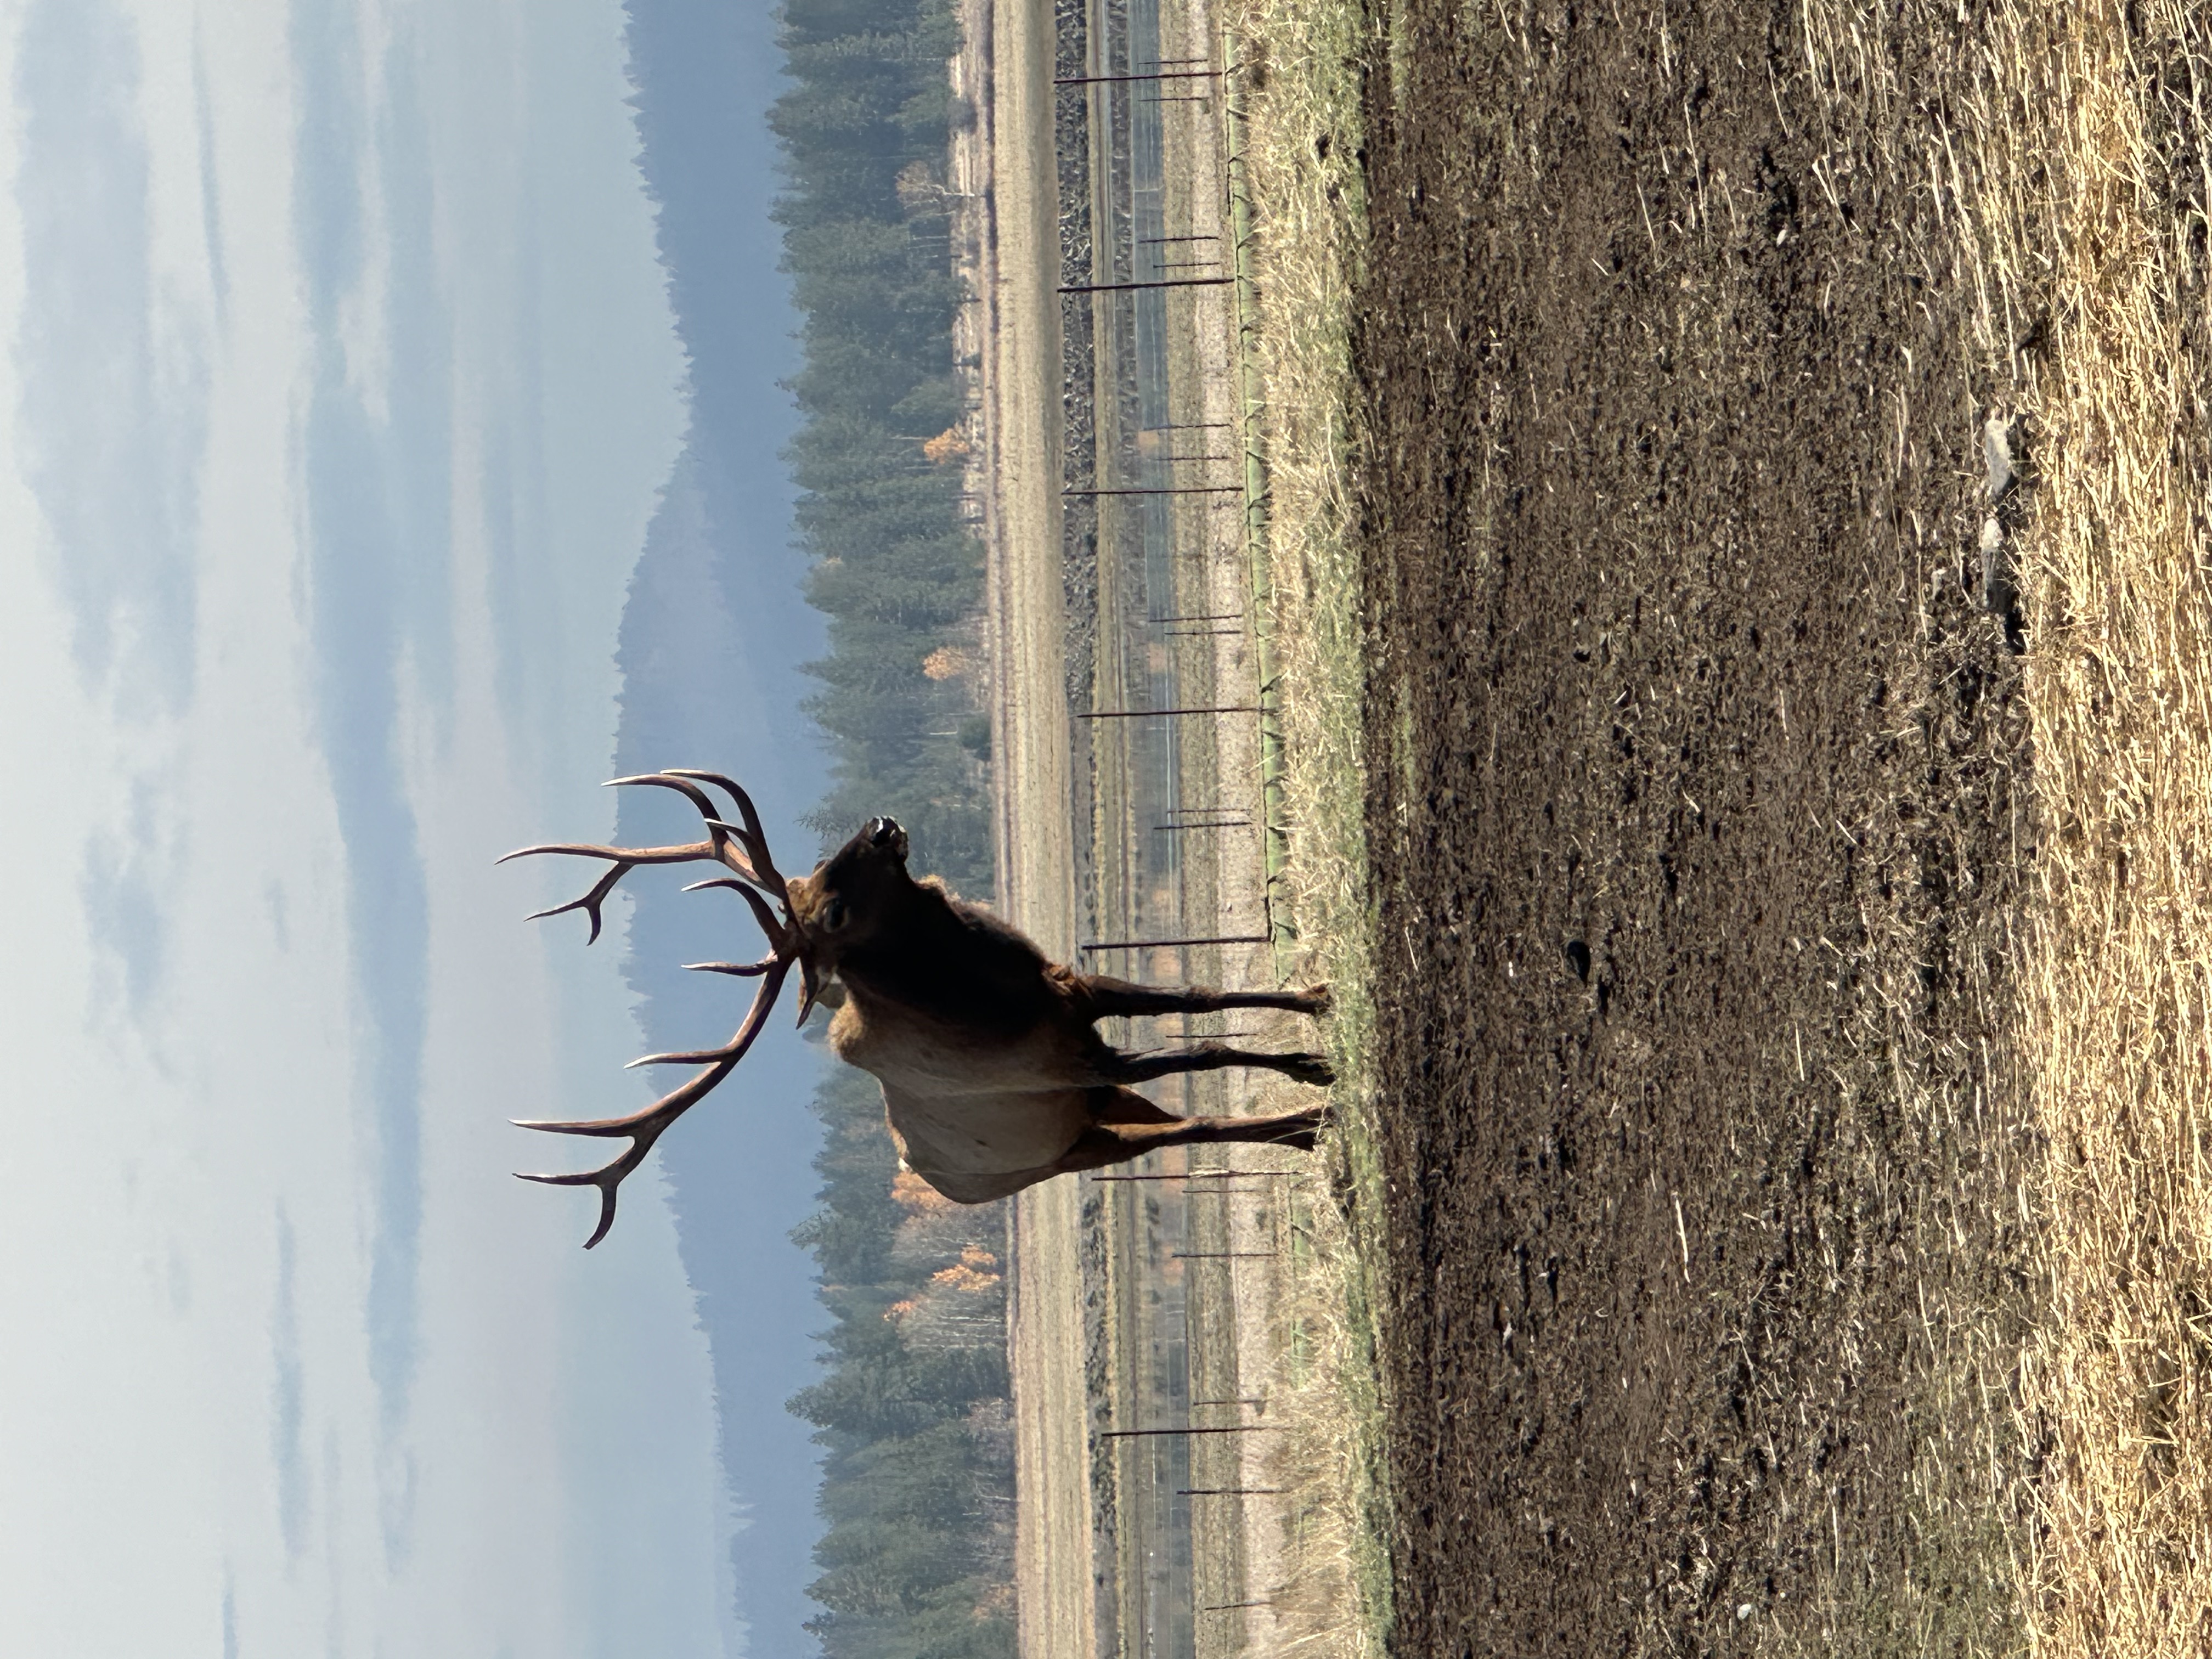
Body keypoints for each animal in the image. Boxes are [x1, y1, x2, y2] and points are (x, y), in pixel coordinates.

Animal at [501, 770, 1333, 1246]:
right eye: (830, 911)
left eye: (818, 867)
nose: (880, 826)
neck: (986, 999)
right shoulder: (1069, 1062)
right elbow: (1206, 1050)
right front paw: (1316, 1068)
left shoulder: (1072, 993)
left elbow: (1199, 996)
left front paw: (1317, 1001)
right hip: (1077, 1142)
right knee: (1191, 1128)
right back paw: (1310, 1126)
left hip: (1093, 1115)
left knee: (1183, 1120)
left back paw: (1302, 1132)